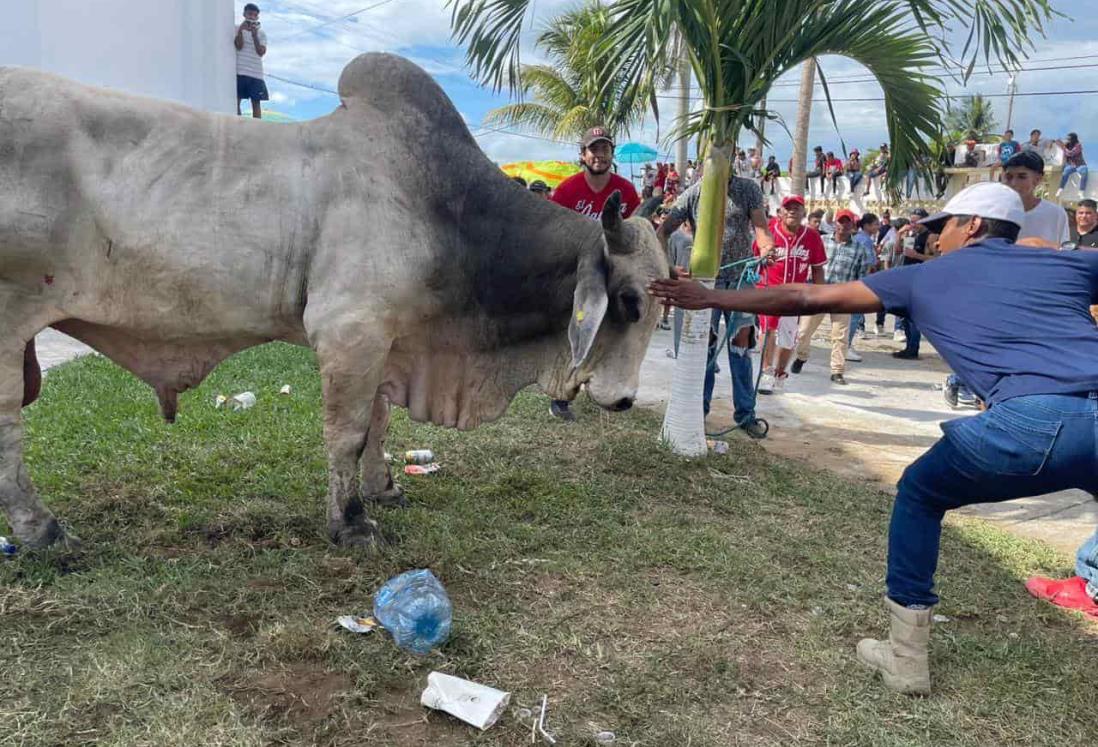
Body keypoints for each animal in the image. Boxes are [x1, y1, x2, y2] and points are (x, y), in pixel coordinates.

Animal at [0, 54, 667, 549]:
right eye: (630, 302)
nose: (624, 400)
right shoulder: (350, 332)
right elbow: (347, 432)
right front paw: (349, 523)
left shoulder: (387, 339)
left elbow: (379, 423)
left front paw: (383, 489)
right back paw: (43, 534)